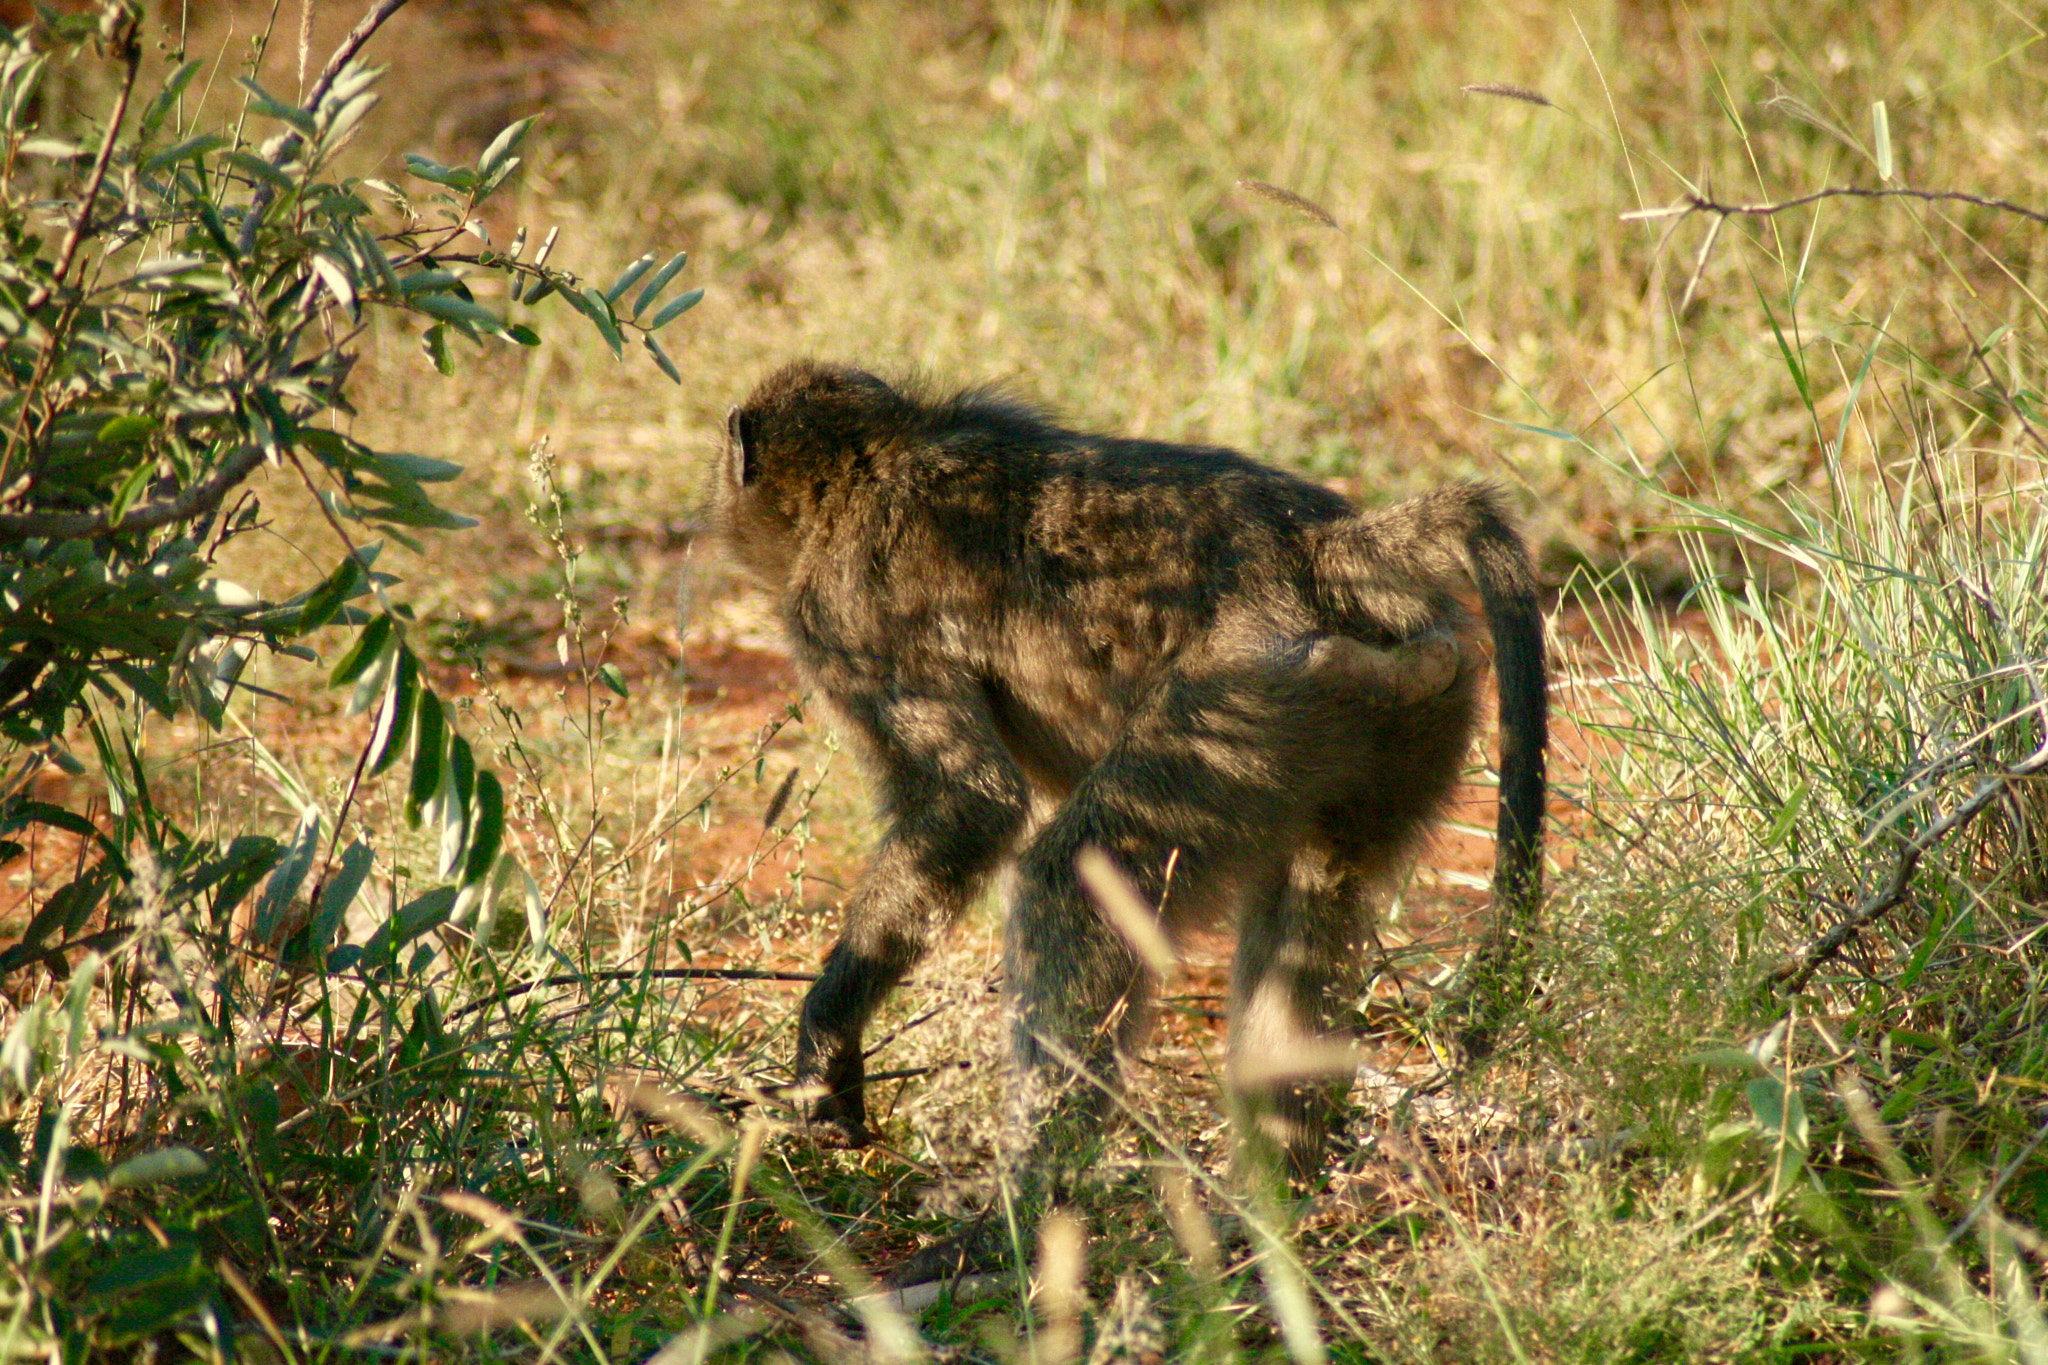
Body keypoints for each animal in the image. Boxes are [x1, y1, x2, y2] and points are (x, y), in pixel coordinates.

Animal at [712, 361, 1546, 1245]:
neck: (877, 458)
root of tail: (1327, 549)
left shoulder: (840, 616)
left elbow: (971, 801)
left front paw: (828, 1040)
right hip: (1405, 709)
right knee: (1308, 913)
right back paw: (1269, 1208)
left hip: (1249, 694)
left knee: (1077, 878)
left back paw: (1020, 1209)